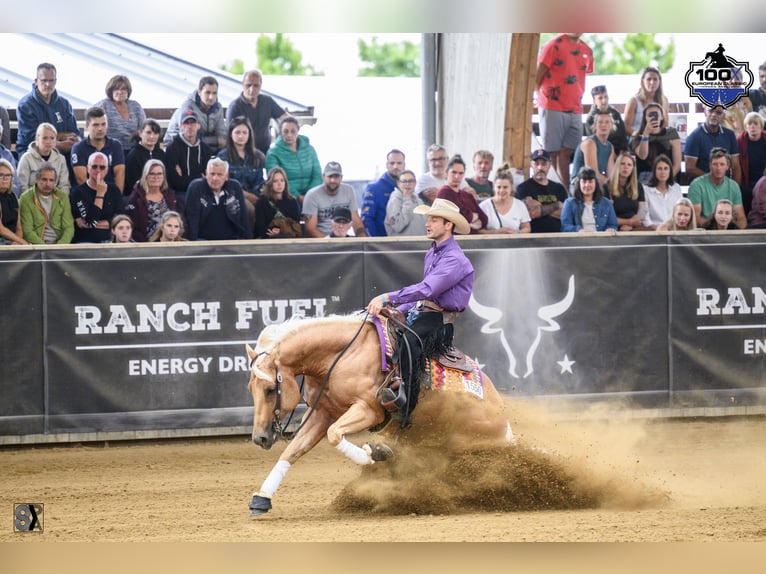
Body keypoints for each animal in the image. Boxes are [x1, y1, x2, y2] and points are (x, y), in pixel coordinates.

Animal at [249, 316, 516, 516]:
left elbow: (334, 435)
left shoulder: (368, 410)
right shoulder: (323, 414)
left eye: (271, 389)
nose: (259, 438)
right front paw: (262, 498)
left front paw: (373, 453)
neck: (342, 356)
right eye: (250, 389)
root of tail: (503, 420)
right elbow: (292, 451)